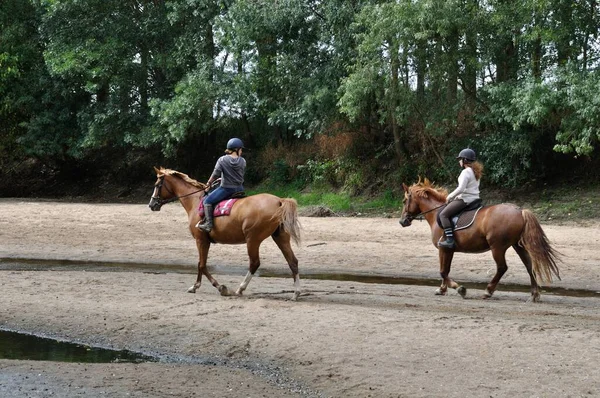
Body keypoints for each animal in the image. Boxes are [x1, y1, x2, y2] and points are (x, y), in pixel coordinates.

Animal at [148, 166, 302, 300]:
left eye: (157, 185)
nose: (151, 204)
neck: (195, 201)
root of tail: (279, 201)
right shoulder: (203, 241)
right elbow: (200, 263)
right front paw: (195, 286)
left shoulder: (200, 240)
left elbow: (202, 265)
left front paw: (219, 287)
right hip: (280, 237)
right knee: (292, 261)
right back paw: (296, 293)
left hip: (253, 240)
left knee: (254, 263)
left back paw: (240, 289)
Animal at [398, 178, 564, 302]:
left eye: (404, 200)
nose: (402, 221)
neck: (436, 213)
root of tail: (519, 210)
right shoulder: (448, 250)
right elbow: (445, 270)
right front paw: (442, 289)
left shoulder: (443, 248)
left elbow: (442, 271)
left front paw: (460, 289)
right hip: (518, 246)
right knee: (529, 265)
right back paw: (534, 294)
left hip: (498, 247)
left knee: (502, 268)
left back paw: (488, 291)